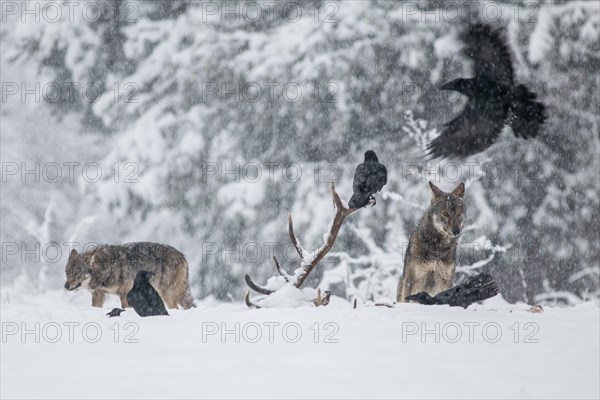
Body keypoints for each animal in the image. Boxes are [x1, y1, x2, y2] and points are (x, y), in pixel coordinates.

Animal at [65, 241, 197, 310]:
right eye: (67, 272)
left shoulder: (124, 294)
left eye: (76, 273)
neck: (104, 268)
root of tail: (183, 256)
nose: (66, 286)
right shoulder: (98, 294)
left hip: (167, 294)